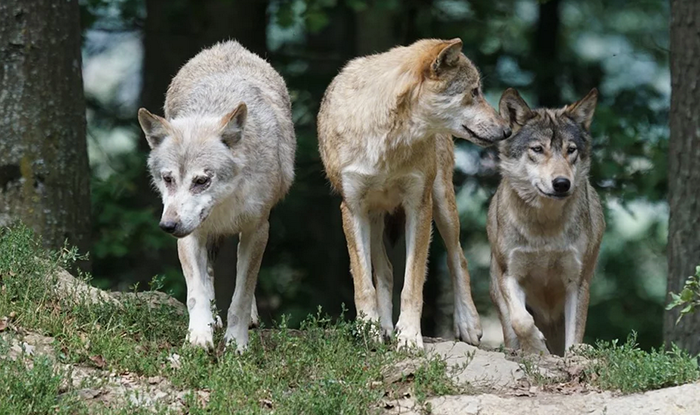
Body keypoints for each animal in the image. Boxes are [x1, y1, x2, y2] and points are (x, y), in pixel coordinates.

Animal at [137, 41, 296, 351]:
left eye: (201, 181)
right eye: (168, 179)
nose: (168, 226)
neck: (224, 204)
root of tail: (228, 45)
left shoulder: (258, 229)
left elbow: (242, 295)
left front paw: (237, 344)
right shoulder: (190, 235)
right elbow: (196, 293)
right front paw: (199, 336)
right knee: (208, 273)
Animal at [317, 38, 512, 349]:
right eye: (474, 92)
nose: (507, 130)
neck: (388, 140)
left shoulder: (419, 206)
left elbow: (413, 283)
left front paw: (409, 336)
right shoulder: (352, 209)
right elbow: (364, 283)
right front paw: (369, 330)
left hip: (443, 203)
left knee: (458, 257)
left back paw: (468, 324)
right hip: (374, 217)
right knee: (384, 270)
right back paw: (384, 328)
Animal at [487, 88, 605, 356]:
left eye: (571, 150)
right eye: (538, 149)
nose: (561, 183)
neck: (544, 227)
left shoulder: (577, 281)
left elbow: (575, 337)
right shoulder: (509, 274)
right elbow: (521, 321)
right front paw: (537, 348)